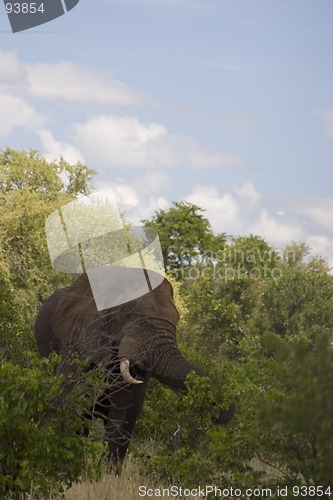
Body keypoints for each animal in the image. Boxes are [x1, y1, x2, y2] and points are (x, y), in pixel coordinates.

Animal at [34, 268, 233, 470]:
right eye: (128, 313)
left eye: (177, 319)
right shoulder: (76, 341)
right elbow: (66, 400)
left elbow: (123, 417)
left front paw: (107, 474)